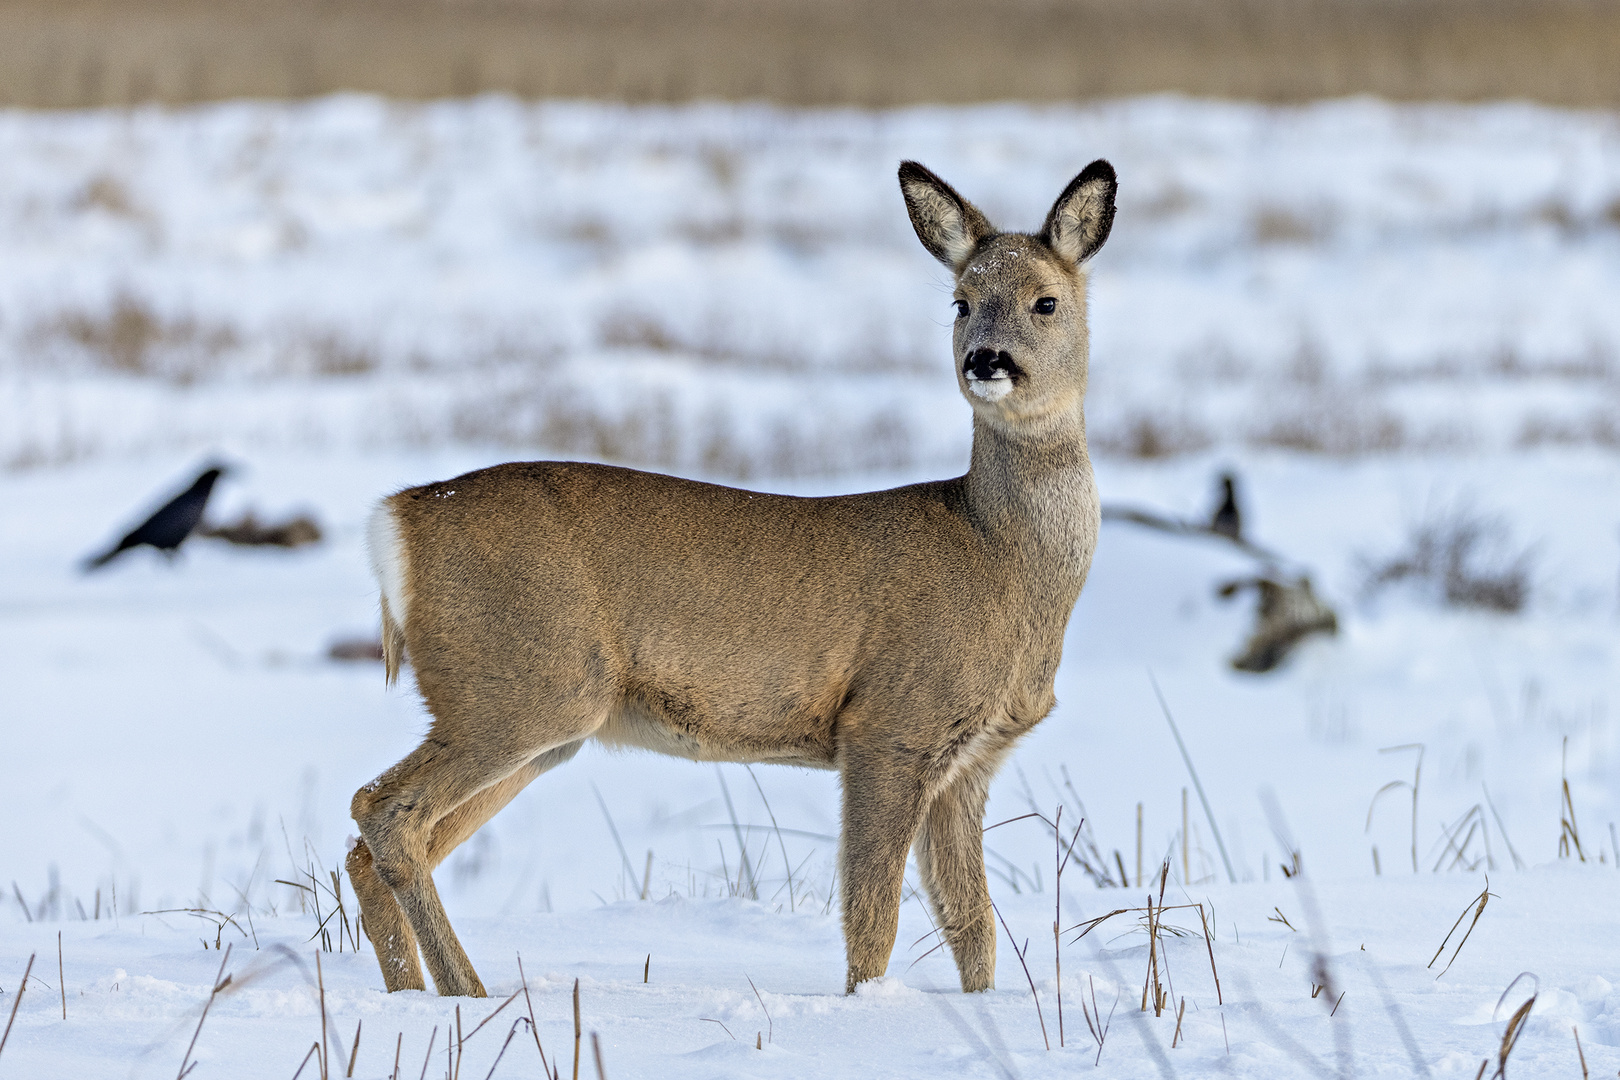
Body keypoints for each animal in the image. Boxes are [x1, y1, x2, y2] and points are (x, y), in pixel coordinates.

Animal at [349, 158, 1121, 997]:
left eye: (1045, 301)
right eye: (961, 301)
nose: (985, 360)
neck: (1000, 557)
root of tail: (397, 519)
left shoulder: (971, 758)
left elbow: (973, 927)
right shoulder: (890, 722)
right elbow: (873, 916)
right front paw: (867, 1005)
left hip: (537, 714)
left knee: (376, 839)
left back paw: (415, 997)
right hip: (521, 683)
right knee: (383, 810)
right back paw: (468, 995)